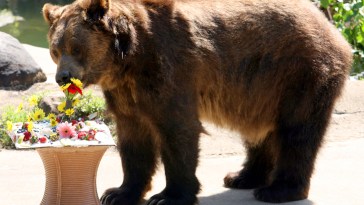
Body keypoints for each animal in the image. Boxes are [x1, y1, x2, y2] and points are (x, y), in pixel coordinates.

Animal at [42, 0, 352, 204]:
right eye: (56, 50)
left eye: (75, 47)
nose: (62, 77)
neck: (127, 61)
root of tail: (330, 26)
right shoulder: (126, 94)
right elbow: (134, 140)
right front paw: (118, 193)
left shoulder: (169, 69)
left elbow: (177, 130)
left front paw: (168, 196)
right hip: (260, 90)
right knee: (259, 132)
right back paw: (242, 177)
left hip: (298, 73)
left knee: (297, 132)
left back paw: (278, 190)